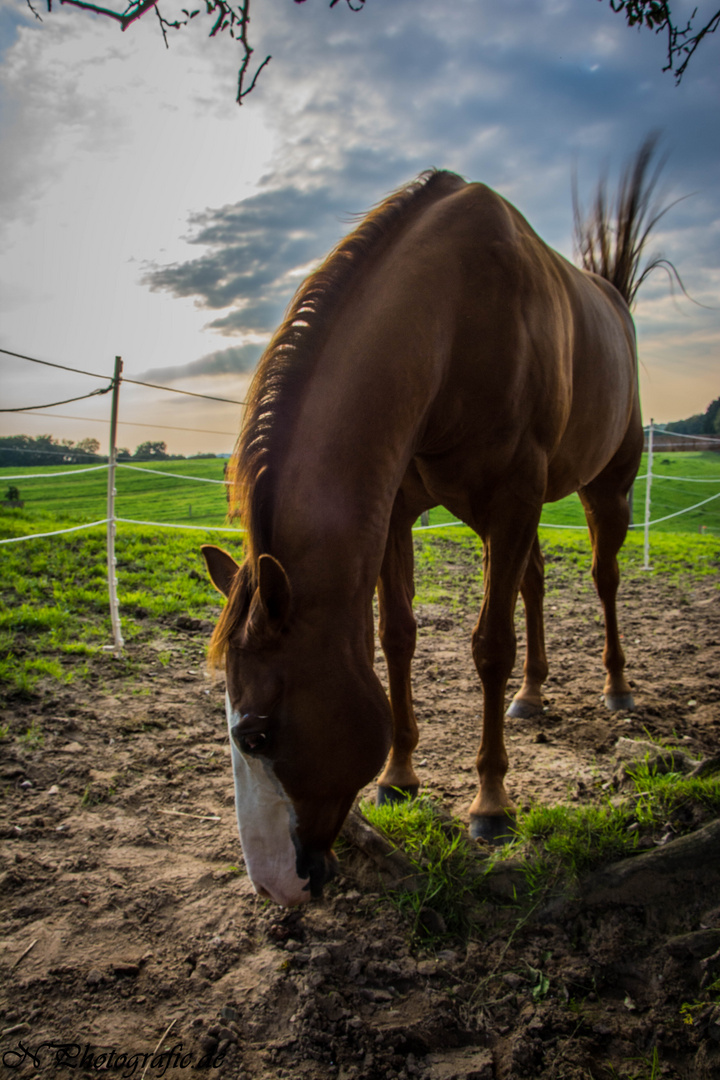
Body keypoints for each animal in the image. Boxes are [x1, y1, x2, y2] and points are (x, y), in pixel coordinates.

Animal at [201, 170, 643, 902]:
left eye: (258, 735)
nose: (272, 883)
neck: (454, 320)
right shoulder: (398, 514)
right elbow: (397, 637)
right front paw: (399, 778)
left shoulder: (514, 498)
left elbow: (490, 647)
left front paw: (491, 805)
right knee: (534, 583)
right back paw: (532, 695)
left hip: (603, 487)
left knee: (604, 580)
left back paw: (616, 686)